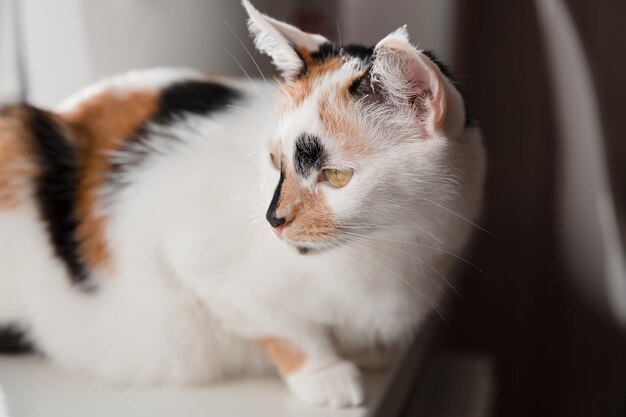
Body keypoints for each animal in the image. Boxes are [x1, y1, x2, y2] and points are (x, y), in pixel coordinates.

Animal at [0, 0, 486, 406]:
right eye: (275, 161)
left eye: (335, 176)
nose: (273, 218)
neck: (391, 246)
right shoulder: (202, 268)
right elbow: (285, 326)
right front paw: (326, 374)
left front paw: (373, 351)